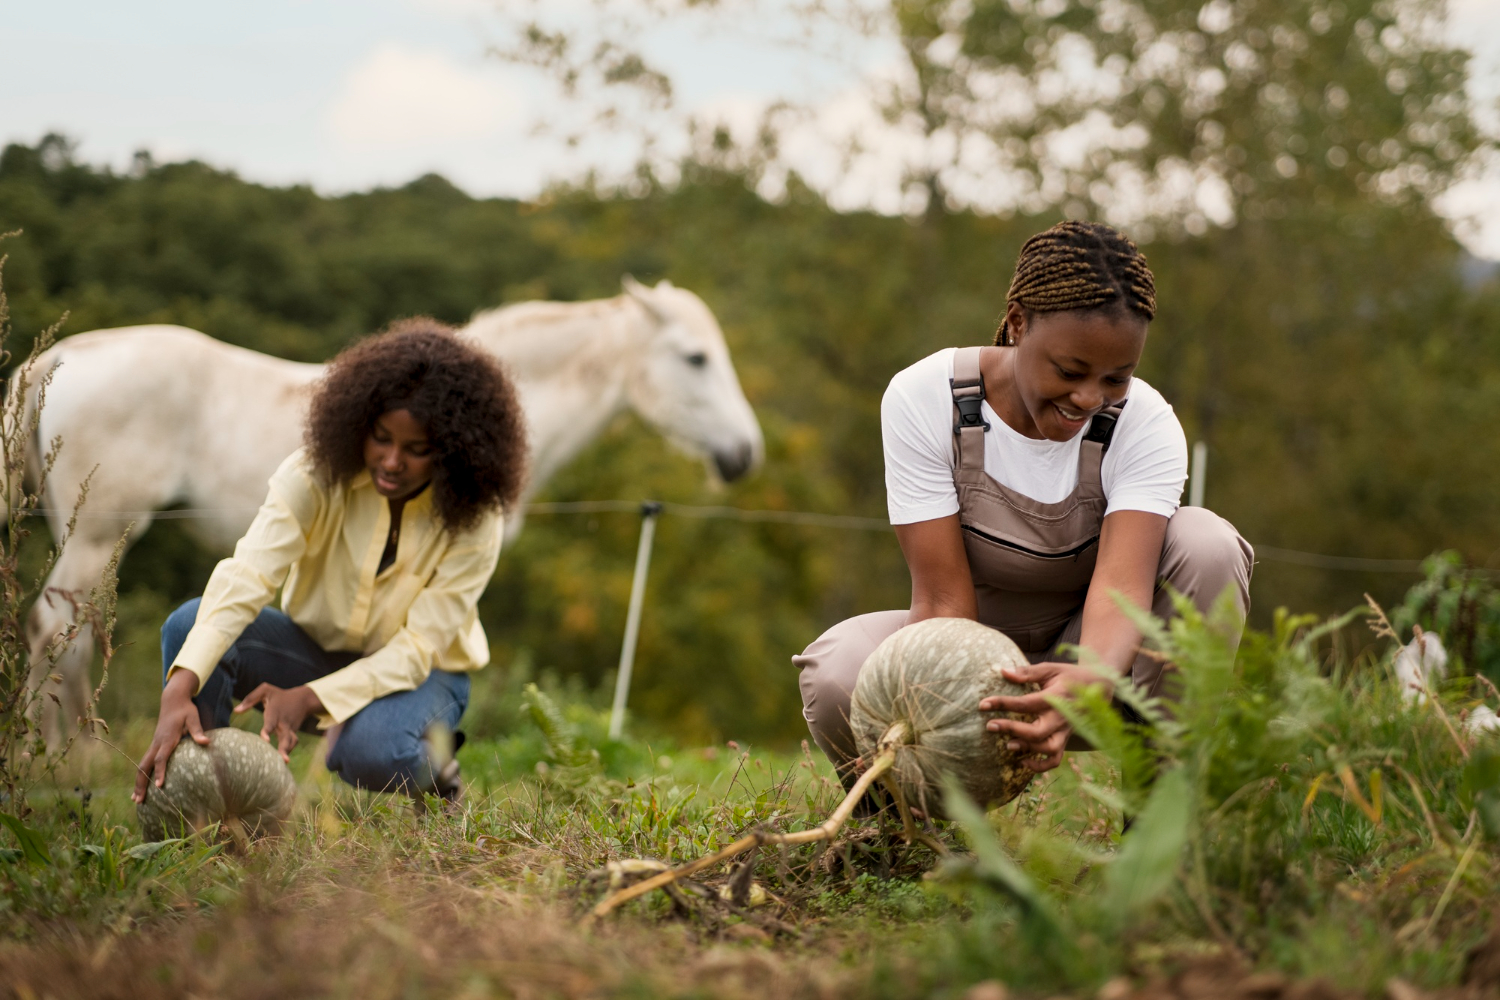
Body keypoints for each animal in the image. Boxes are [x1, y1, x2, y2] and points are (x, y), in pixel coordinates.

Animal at [23, 277, 768, 746]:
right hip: (95, 537)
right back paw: (69, 757)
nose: (745, 453)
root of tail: (59, 357)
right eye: (696, 358)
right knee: (58, 631)